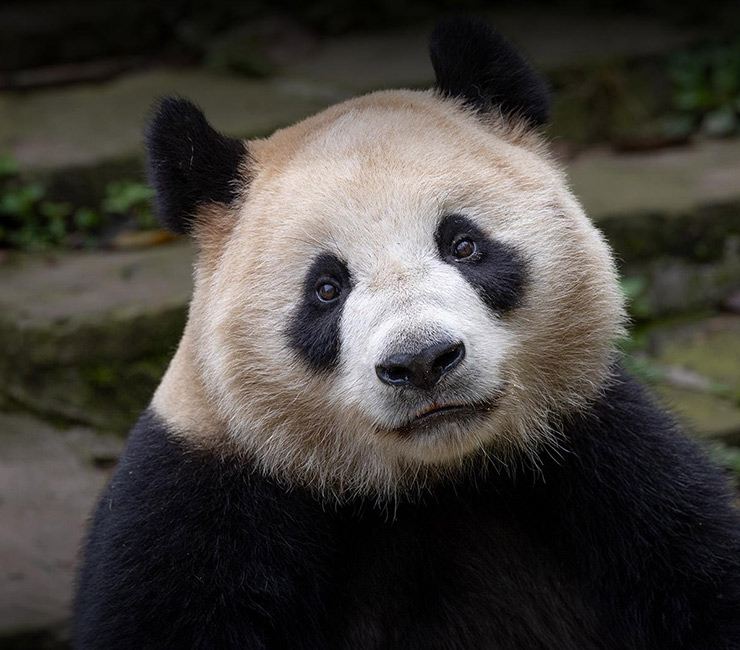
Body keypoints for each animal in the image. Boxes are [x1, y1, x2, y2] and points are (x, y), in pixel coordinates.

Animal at [72, 17, 740, 644]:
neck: (429, 481)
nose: (422, 362)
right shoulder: (202, 503)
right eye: (327, 288)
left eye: (463, 244)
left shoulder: (607, 454)